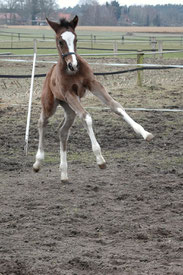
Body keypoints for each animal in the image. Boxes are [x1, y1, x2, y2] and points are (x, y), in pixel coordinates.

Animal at [32, 15, 153, 183]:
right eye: (61, 41)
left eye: (76, 39)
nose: (73, 64)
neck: (72, 73)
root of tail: (50, 72)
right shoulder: (69, 93)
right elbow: (87, 117)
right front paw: (100, 158)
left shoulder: (93, 84)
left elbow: (116, 106)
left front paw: (144, 133)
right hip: (51, 104)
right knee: (42, 122)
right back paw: (38, 162)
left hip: (69, 108)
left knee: (63, 131)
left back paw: (64, 173)